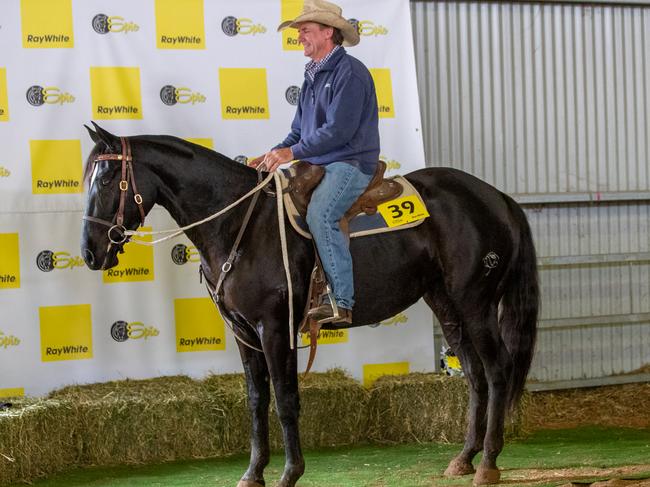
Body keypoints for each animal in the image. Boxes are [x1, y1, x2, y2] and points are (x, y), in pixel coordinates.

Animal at [79, 125, 536, 487]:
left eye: (108, 179)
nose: (89, 252)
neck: (241, 224)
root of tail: (496, 197)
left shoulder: (274, 328)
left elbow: (285, 399)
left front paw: (289, 473)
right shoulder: (243, 332)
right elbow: (256, 400)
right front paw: (253, 473)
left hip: (476, 303)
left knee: (497, 371)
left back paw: (488, 463)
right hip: (446, 304)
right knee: (474, 375)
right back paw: (464, 458)